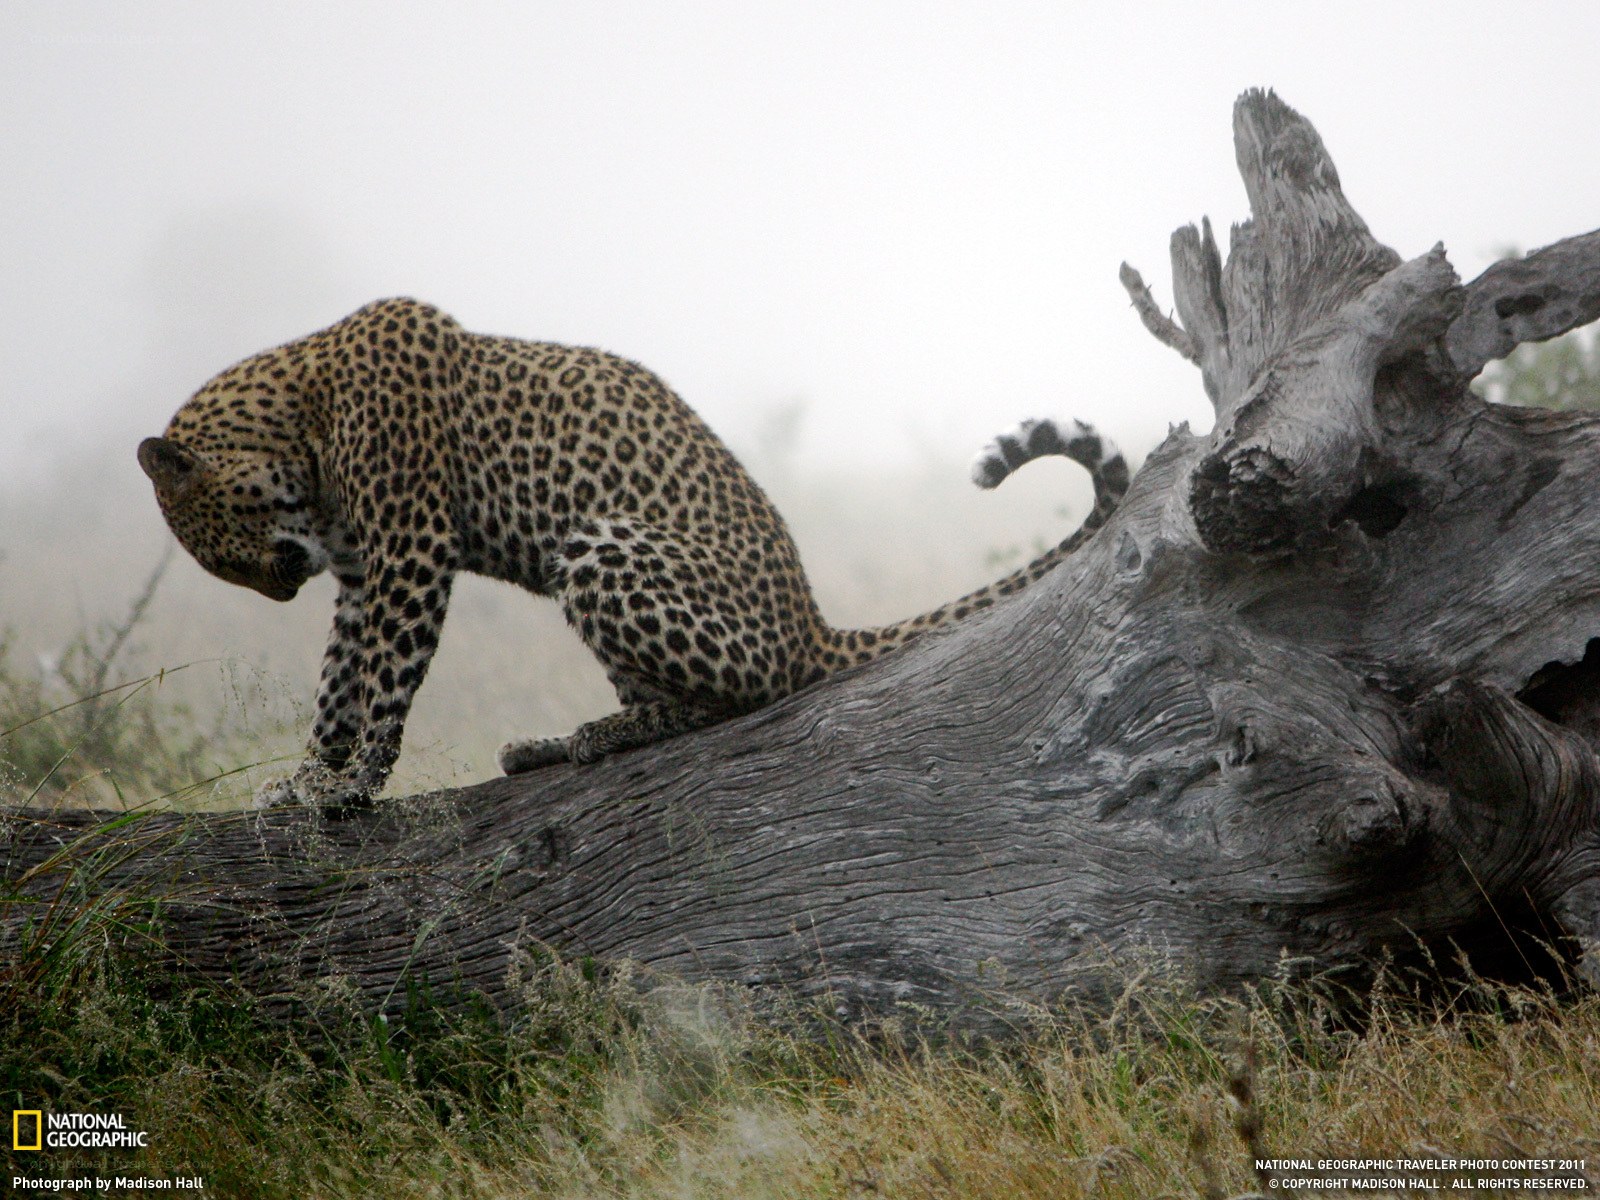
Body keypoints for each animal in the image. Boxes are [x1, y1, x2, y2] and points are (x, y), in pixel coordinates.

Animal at [138, 298, 1129, 808]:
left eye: (220, 556)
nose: (278, 592)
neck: (295, 414)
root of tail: (814, 623)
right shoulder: (356, 571)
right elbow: (338, 683)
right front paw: (308, 777)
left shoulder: (409, 551)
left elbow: (382, 681)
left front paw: (346, 791)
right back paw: (550, 744)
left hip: (599, 548)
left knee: (741, 699)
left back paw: (594, 736)